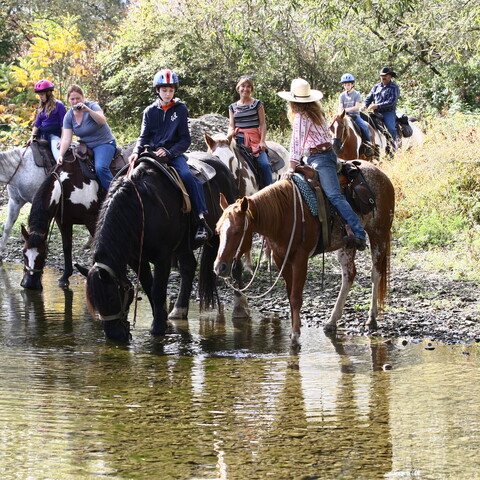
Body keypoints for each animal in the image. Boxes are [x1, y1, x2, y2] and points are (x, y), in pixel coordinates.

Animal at [81, 154, 240, 342]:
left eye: (112, 297)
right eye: (95, 302)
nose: (114, 335)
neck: (139, 208)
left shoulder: (163, 256)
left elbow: (157, 290)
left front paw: (157, 328)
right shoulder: (136, 258)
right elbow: (149, 287)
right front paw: (162, 318)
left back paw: (241, 308)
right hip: (183, 245)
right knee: (188, 267)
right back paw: (179, 310)